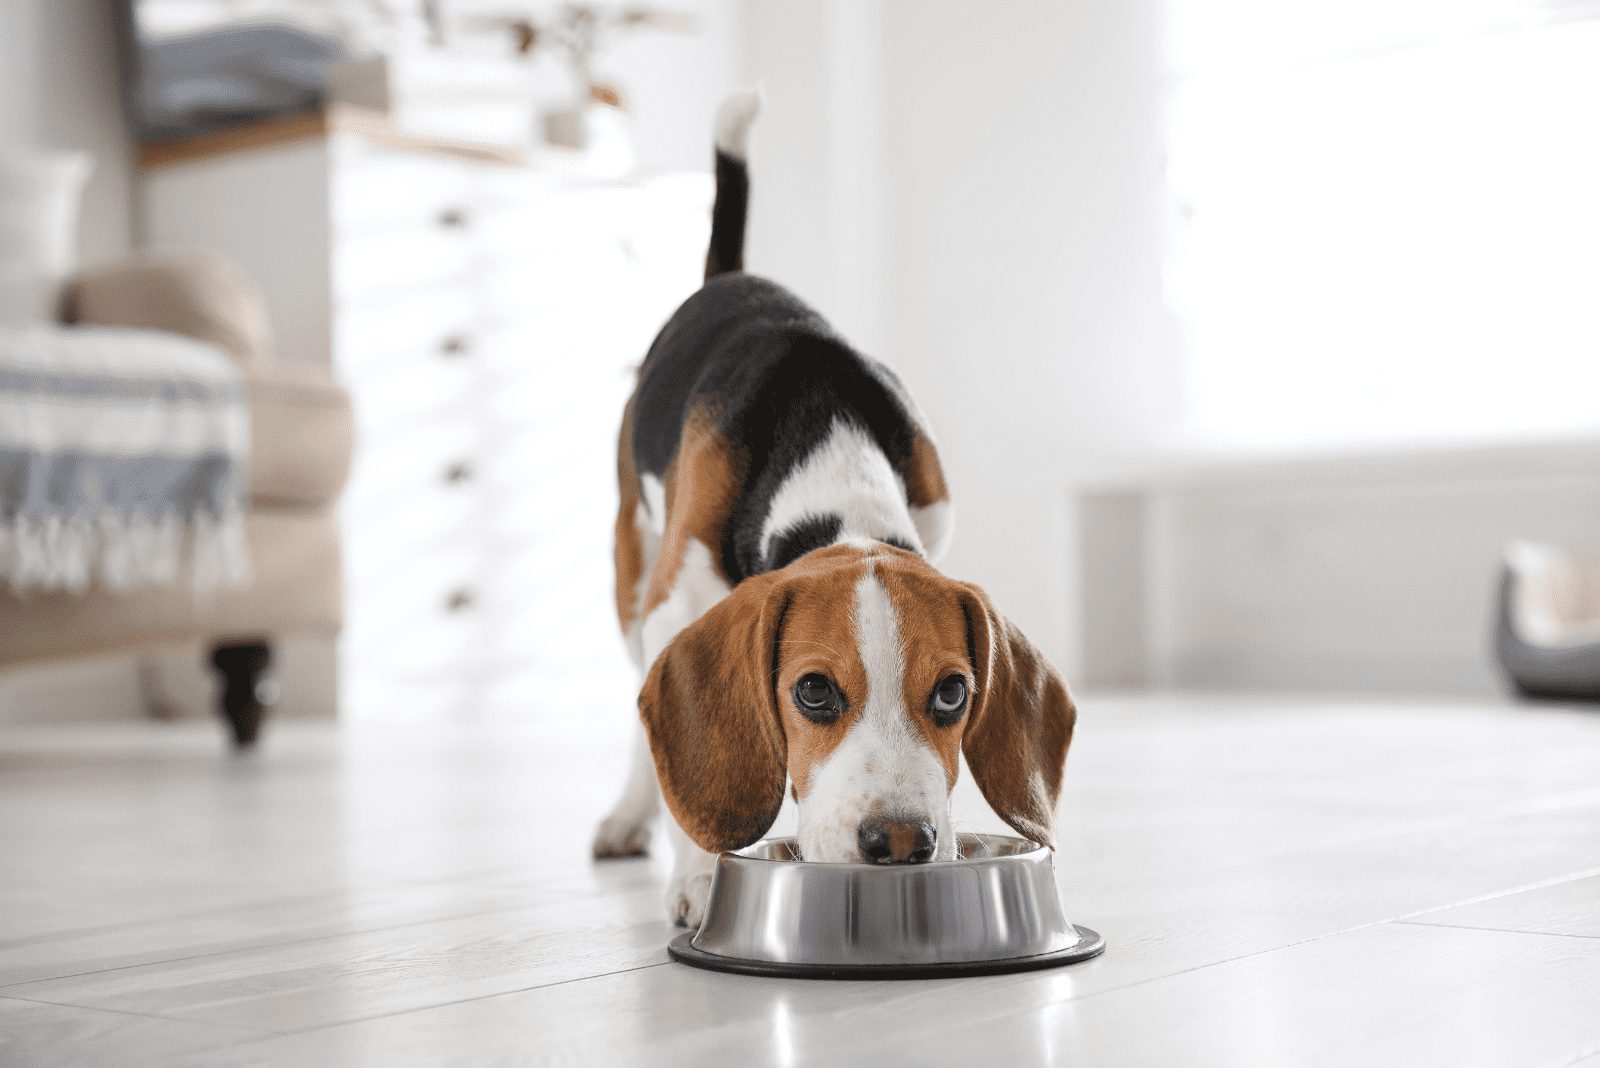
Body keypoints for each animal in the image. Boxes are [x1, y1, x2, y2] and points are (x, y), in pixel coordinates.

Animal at [592, 91, 1075, 927]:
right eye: (813, 691)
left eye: (954, 693)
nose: (902, 843)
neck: (829, 453)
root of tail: (732, 276)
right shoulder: (673, 605)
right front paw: (699, 875)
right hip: (632, 577)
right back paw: (629, 814)